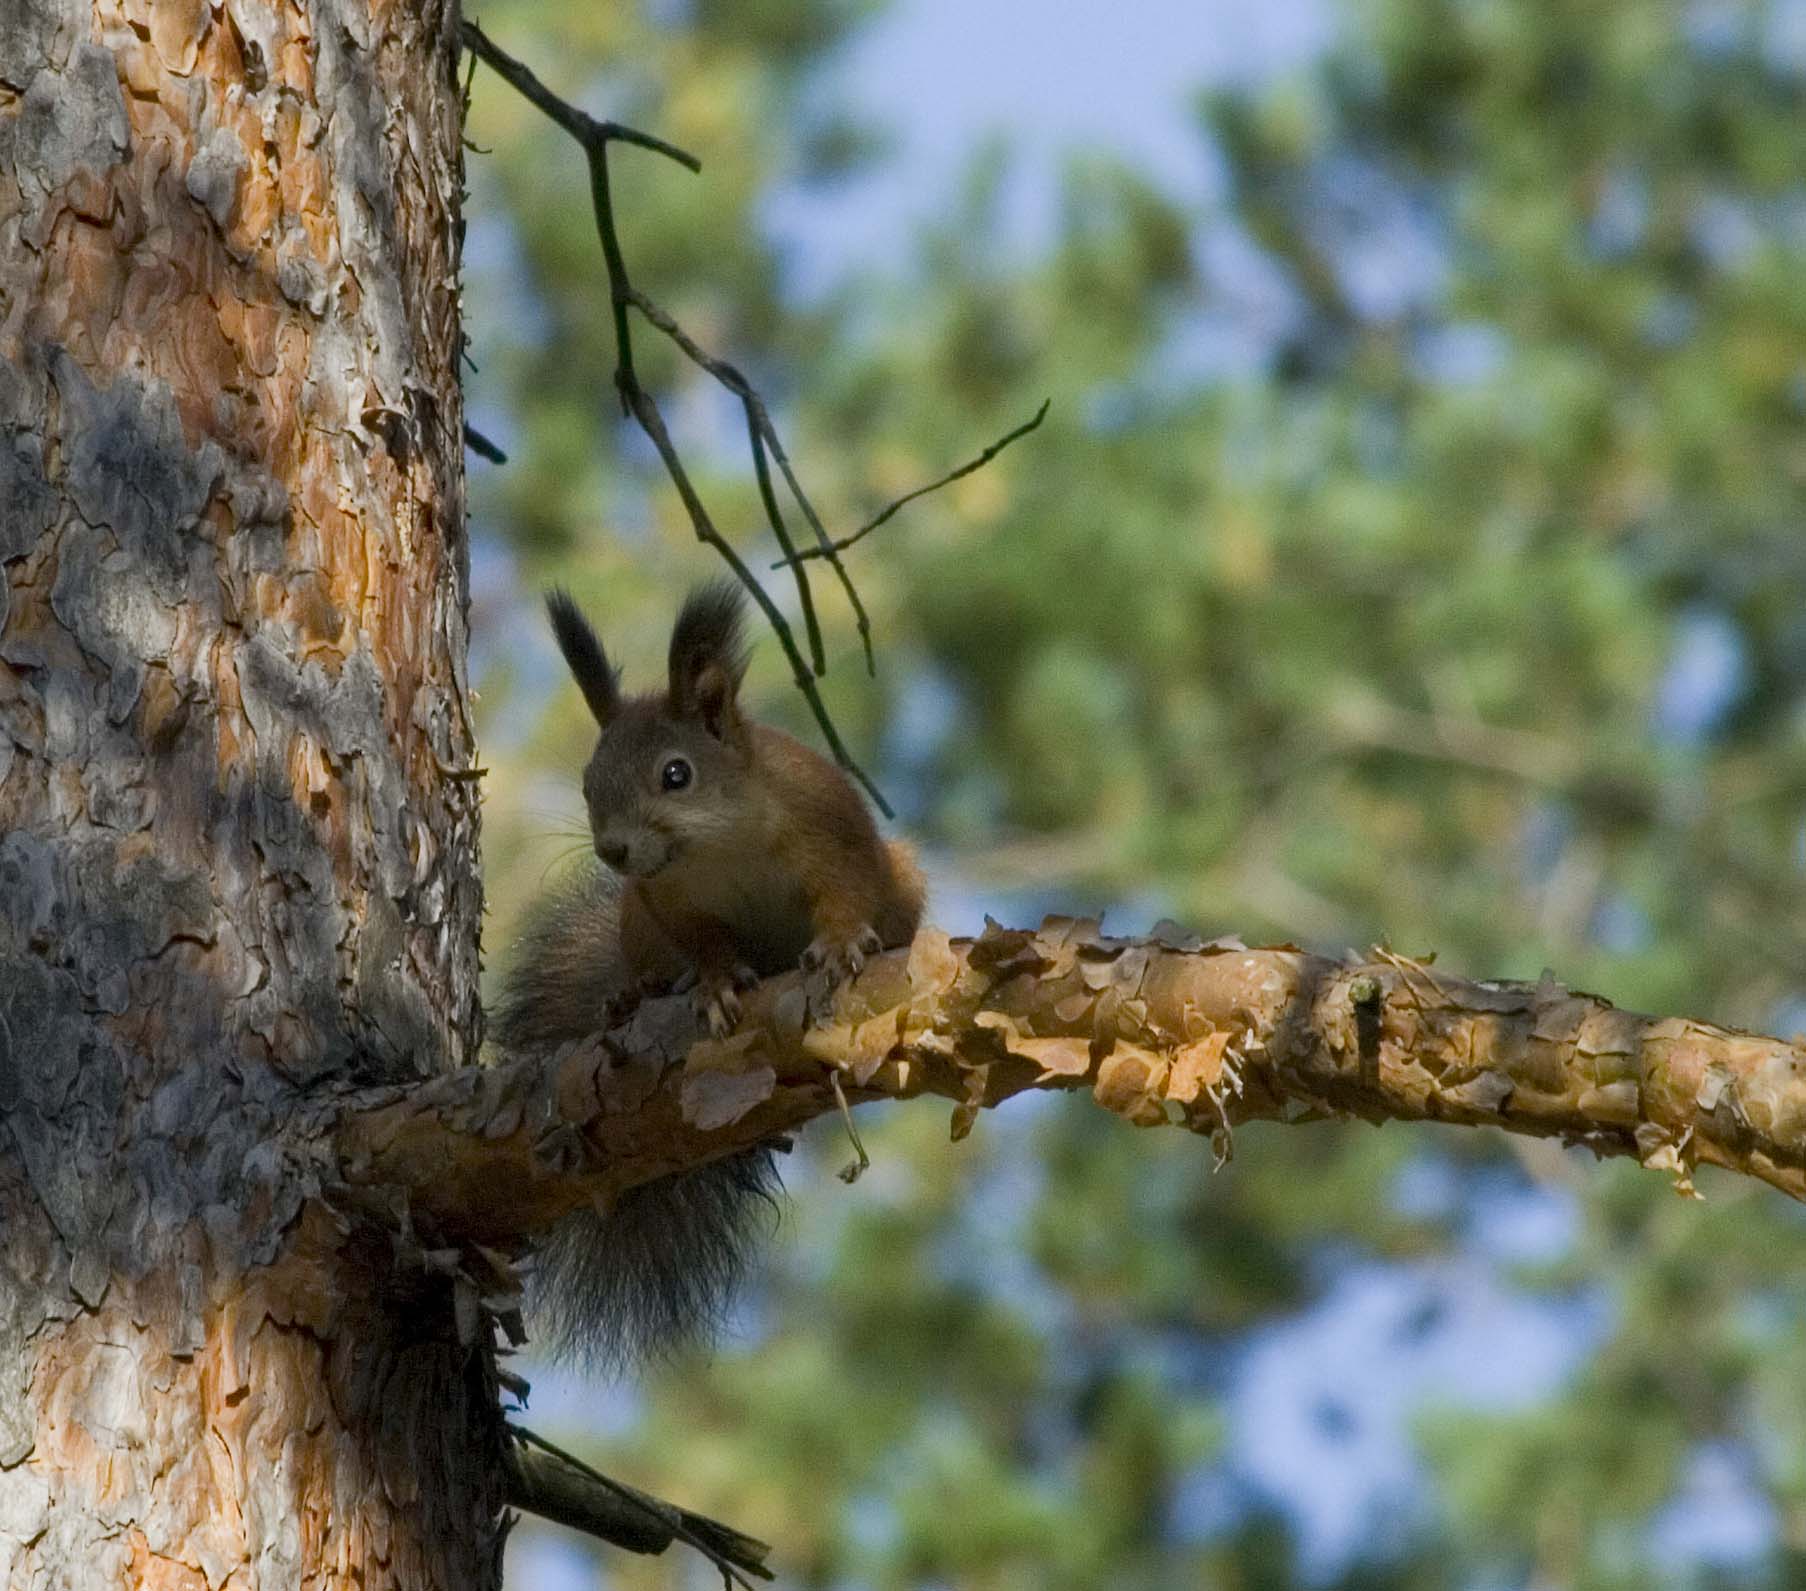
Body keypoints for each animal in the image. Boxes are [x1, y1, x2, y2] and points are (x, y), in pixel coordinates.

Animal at [491, 585, 924, 1365]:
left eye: (676, 773)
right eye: (587, 783)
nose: (614, 850)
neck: (719, 845)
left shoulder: (832, 830)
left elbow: (845, 891)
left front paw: (841, 944)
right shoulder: (667, 904)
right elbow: (704, 944)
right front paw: (716, 984)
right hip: (632, 921)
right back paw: (637, 993)